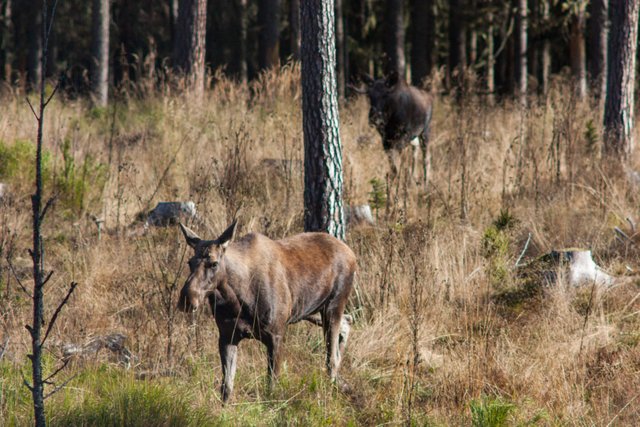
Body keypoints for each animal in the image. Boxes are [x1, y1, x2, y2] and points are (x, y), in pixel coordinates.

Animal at [178, 222, 358, 402]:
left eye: (214, 263)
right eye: (189, 262)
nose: (187, 299)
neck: (238, 299)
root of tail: (352, 254)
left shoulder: (276, 335)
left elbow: (271, 387)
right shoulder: (227, 336)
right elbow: (226, 388)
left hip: (333, 305)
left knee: (332, 357)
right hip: (310, 310)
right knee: (347, 322)